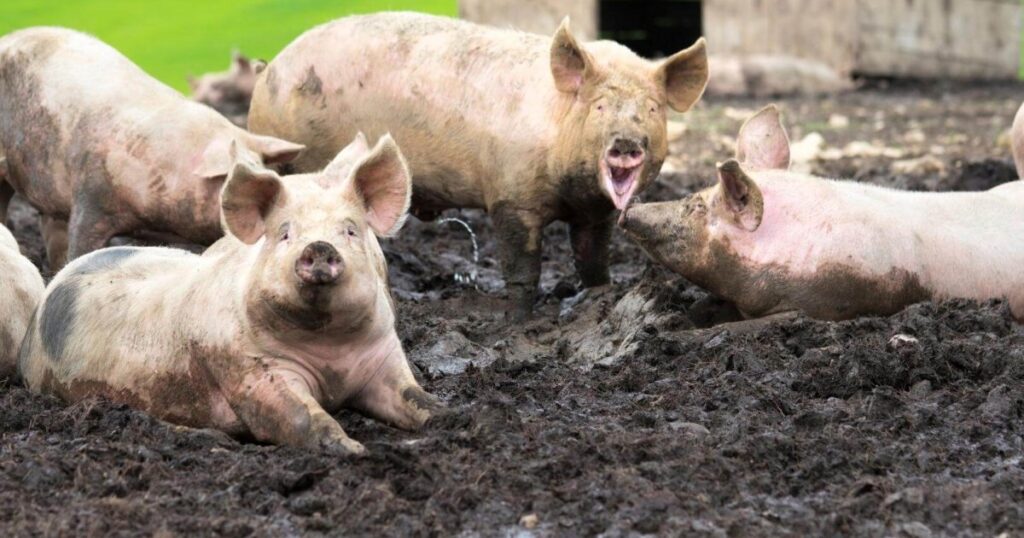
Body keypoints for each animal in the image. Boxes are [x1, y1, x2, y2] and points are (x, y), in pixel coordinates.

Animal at [16, 133, 442, 454]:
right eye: (284, 232)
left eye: (350, 229)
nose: (319, 247)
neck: (330, 349)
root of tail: (56, 281)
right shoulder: (250, 370)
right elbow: (299, 415)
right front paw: (354, 450)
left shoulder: (384, 353)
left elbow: (414, 396)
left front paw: (445, 417)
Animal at [247, 12, 709, 314]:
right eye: (599, 107)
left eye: (651, 108)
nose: (626, 142)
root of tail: (268, 70)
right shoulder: (510, 196)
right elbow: (522, 266)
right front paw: (520, 320)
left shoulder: (595, 213)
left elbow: (593, 260)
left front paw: (599, 299)